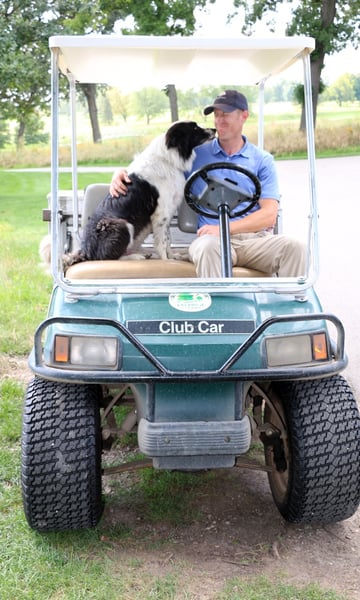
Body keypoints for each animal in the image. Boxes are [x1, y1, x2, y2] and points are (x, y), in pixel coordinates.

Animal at [64, 120, 214, 266]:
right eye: (195, 128)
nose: (214, 129)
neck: (167, 159)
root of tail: (86, 252)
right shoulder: (161, 213)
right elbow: (162, 242)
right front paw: (166, 261)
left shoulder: (167, 212)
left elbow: (167, 239)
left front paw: (172, 257)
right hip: (122, 225)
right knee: (110, 258)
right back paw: (136, 256)